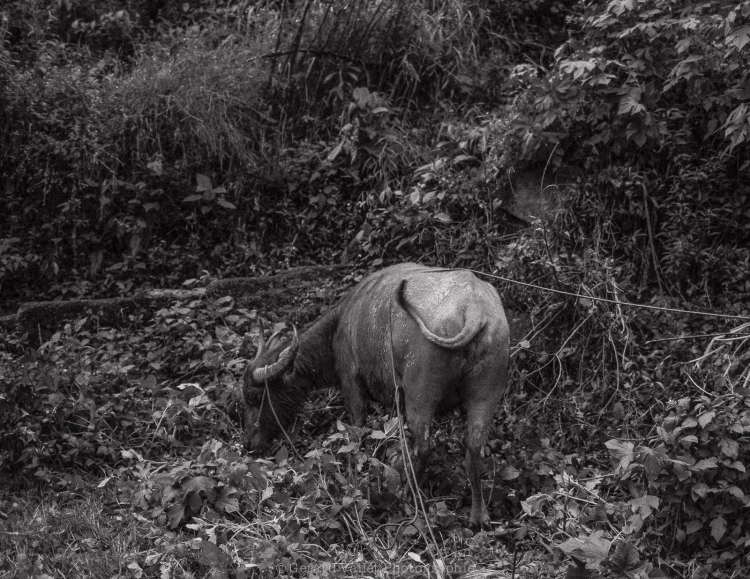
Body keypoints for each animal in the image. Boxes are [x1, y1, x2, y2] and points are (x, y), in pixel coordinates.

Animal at [242, 266, 512, 528]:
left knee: (424, 447)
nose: (249, 443)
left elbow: (356, 432)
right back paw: (478, 517)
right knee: (474, 450)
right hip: (485, 395)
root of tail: (475, 308)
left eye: (253, 397)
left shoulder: (351, 381)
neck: (340, 324)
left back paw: (407, 496)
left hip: (420, 395)